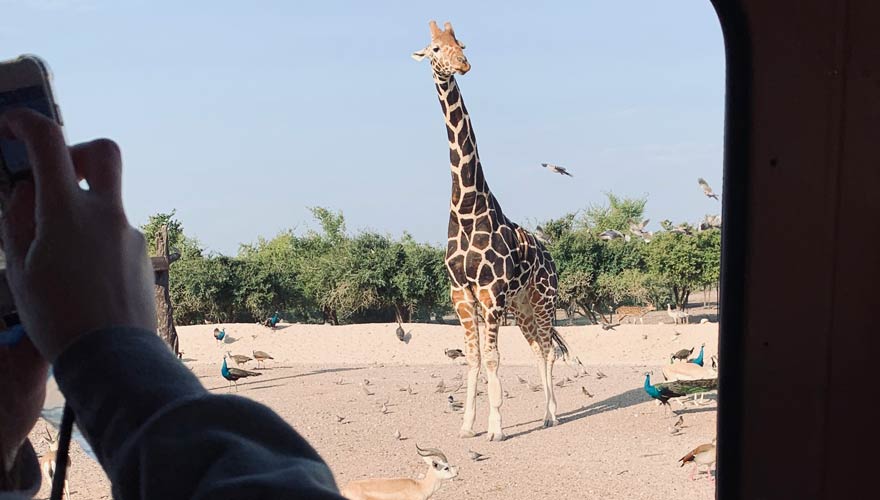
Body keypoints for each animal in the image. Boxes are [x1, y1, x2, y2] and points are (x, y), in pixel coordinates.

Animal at [413, 20, 571, 441]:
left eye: (461, 44)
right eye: (435, 49)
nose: (463, 65)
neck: (467, 206)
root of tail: (550, 258)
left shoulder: (491, 292)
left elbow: (495, 359)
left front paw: (496, 427)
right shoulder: (462, 294)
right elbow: (473, 358)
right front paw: (467, 425)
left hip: (543, 299)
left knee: (548, 349)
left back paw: (551, 415)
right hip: (523, 306)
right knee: (537, 349)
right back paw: (547, 413)